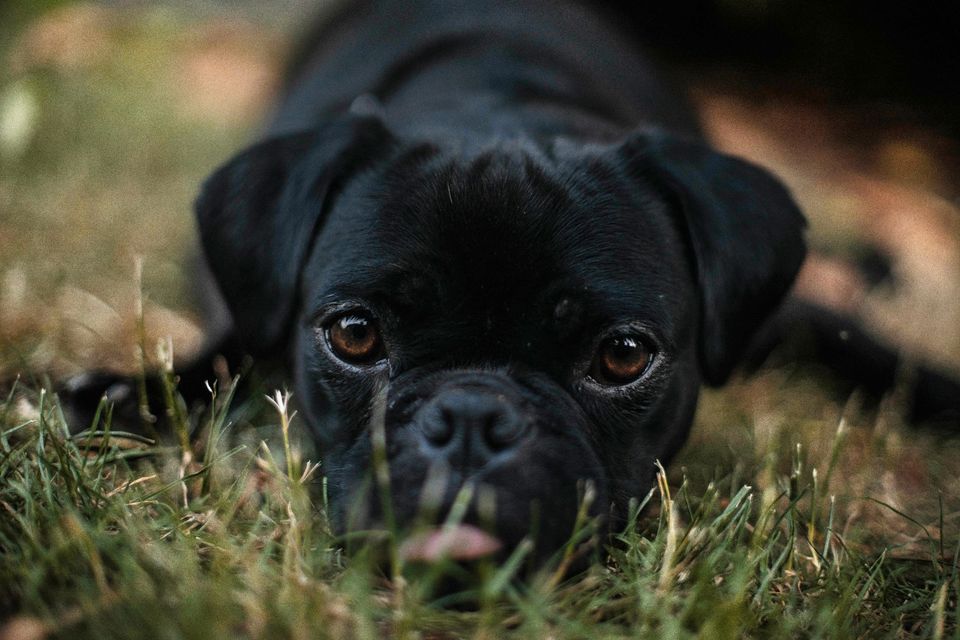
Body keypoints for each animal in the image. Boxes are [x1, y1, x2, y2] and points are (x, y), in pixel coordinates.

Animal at [58, 0, 952, 560]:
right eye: (355, 336)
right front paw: (127, 394)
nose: (471, 417)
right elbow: (229, 350)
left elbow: (867, 345)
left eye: (623, 356)